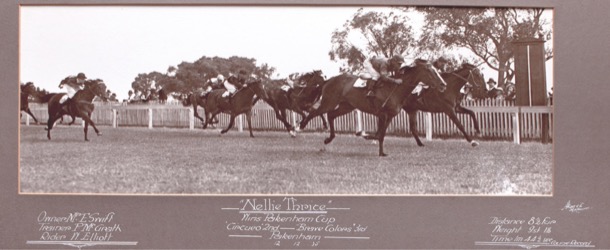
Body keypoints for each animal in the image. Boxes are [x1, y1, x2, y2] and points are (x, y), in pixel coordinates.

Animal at [300, 59, 446, 156]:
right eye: (429, 71)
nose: (443, 84)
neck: (394, 89)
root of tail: (328, 80)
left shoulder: (389, 116)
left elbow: (380, 134)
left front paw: (377, 148)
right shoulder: (382, 114)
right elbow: (379, 134)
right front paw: (366, 137)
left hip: (347, 106)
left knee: (330, 115)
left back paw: (328, 139)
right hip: (329, 102)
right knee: (315, 112)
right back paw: (300, 126)